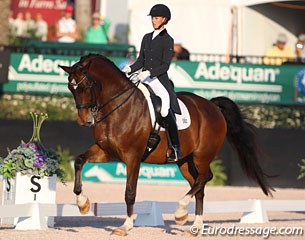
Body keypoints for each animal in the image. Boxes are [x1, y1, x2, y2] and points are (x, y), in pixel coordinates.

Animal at [58, 54, 272, 236]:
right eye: (71, 88)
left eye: (87, 86)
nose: (85, 121)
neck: (119, 107)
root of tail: (212, 106)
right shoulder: (106, 151)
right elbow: (79, 161)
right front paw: (83, 204)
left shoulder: (133, 157)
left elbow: (129, 192)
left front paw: (125, 226)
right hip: (185, 161)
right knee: (199, 185)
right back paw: (194, 226)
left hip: (202, 156)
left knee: (204, 177)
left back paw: (180, 212)